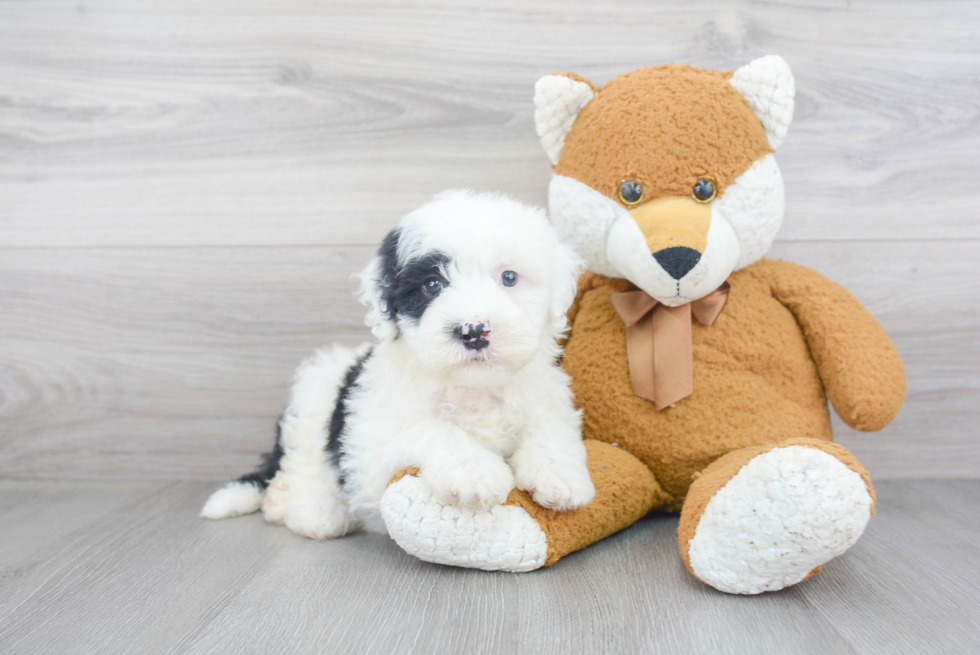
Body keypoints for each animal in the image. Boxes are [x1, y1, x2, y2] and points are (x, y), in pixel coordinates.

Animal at [203, 192, 592, 540]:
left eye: (509, 277)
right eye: (432, 285)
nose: (473, 330)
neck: (472, 388)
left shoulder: (547, 398)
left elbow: (550, 428)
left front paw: (561, 476)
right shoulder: (367, 446)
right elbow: (431, 428)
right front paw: (472, 470)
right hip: (314, 395)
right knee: (302, 462)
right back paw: (311, 508)